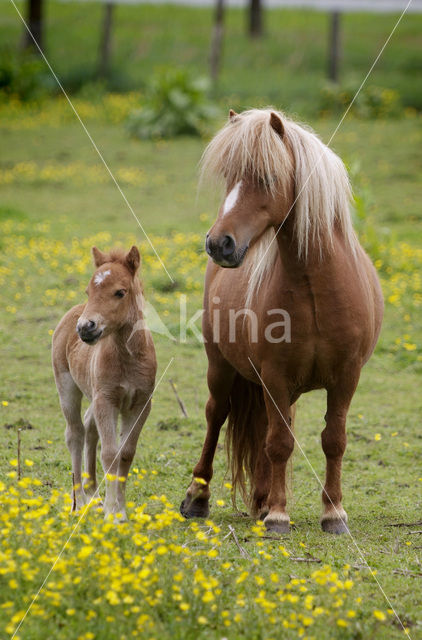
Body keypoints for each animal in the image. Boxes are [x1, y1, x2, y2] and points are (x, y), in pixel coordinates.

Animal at [52, 245, 157, 520]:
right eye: (89, 291)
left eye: (120, 292)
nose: (86, 328)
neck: (128, 358)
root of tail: (74, 311)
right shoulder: (106, 400)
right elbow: (110, 454)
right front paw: (113, 513)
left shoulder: (140, 404)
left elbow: (126, 454)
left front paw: (120, 509)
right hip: (67, 386)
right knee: (75, 433)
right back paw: (79, 502)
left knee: (89, 426)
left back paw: (93, 496)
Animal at [180, 109, 384, 536]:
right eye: (229, 177)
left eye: (268, 178)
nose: (218, 243)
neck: (317, 288)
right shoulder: (274, 375)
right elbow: (279, 443)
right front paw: (278, 515)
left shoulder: (346, 377)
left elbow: (333, 439)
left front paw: (333, 513)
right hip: (221, 368)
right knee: (216, 416)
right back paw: (199, 497)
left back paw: (260, 499)